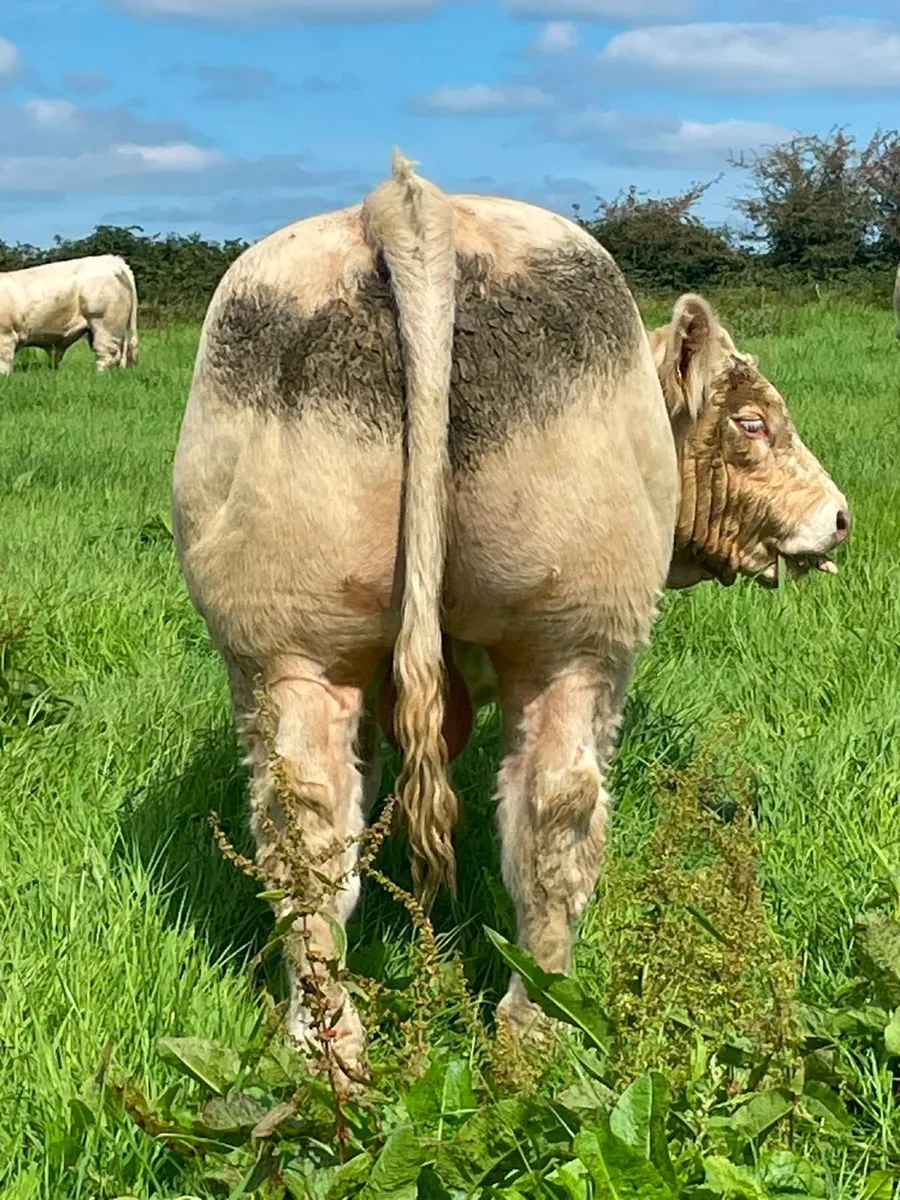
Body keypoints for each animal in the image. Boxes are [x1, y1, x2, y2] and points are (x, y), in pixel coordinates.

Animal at [172, 151, 849, 1083]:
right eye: (753, 421)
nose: (841, 517)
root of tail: (409, 206)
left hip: (293, 645)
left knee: (306, 820)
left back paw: (329, 1045)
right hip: (578, 642)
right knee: (558, 815)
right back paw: (538, 1031)